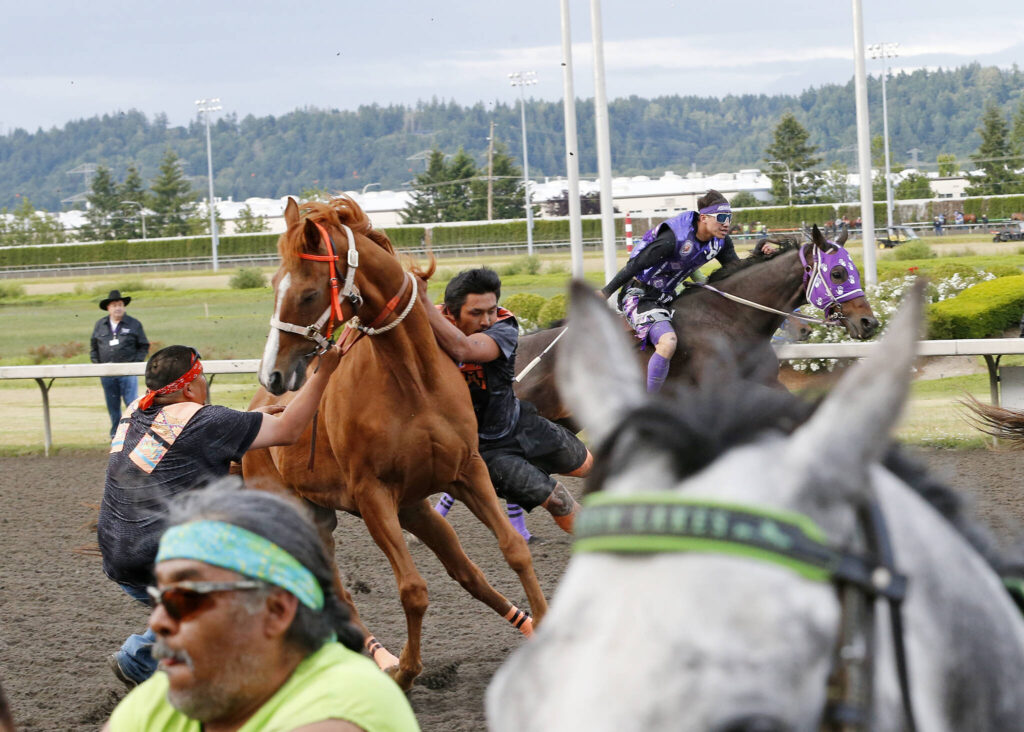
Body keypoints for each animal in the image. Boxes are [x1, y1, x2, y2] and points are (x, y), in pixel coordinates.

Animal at [241, 197, 544, 692]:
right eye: (273, 286)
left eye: (307, 293)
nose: (273, 374)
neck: (413, 380)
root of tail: (256, 414)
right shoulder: (371, 495)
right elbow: (413, 590)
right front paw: (405, 670)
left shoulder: (467, 471)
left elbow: (513, 550)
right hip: (310, 516)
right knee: (338, 595)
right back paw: (379, 661)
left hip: (414, 509)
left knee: (467, 573)